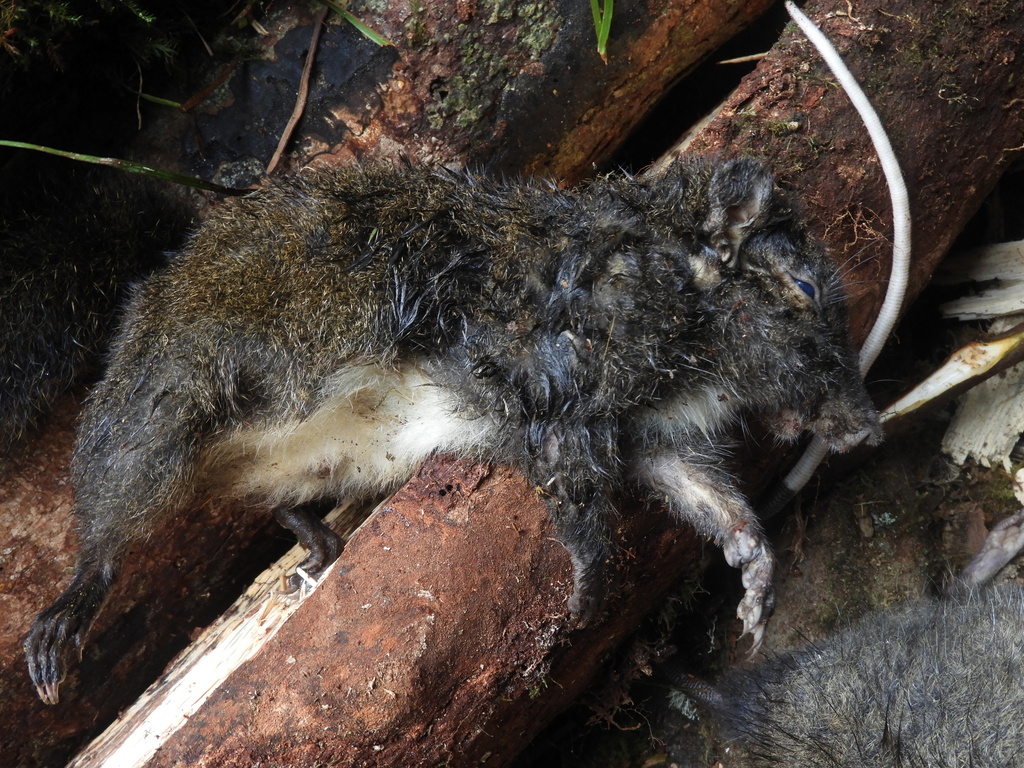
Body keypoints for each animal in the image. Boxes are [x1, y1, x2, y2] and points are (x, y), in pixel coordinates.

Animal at [23, 156, 881, 704]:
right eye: (805, 287)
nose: (868, 428)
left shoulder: (647, 435)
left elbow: (708, 498)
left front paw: (755, 567)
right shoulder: (547, 403)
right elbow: (580, 511)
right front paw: (586, 594)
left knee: (270, 499)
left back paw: (314, 537)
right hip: (158, 417)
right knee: (111, 515)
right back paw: (70, 607)